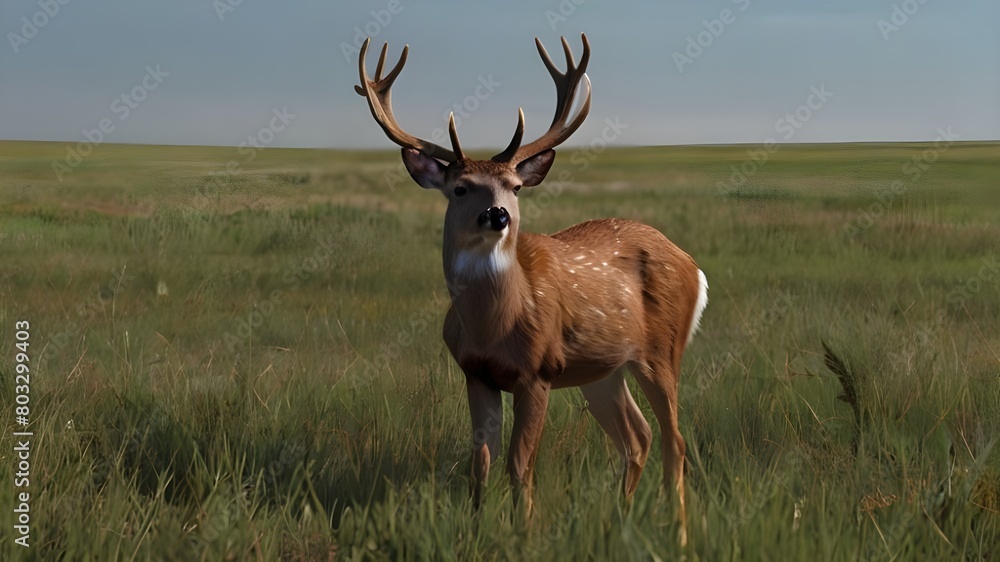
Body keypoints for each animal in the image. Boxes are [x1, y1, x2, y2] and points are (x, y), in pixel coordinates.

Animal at [355, 33, 707, 545]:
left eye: (516, 187)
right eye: (460, 188)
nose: (498, 214)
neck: (494, 326)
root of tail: (693, 266)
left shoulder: (538, 371)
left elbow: (520, 465)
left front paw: (523, 534)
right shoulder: (475, 373)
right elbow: (480, 462)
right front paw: (475, 532)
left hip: (661, 350)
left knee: (674, 440)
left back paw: (677, 534)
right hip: (602, 371)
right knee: (636, 436)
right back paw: (620, 521)